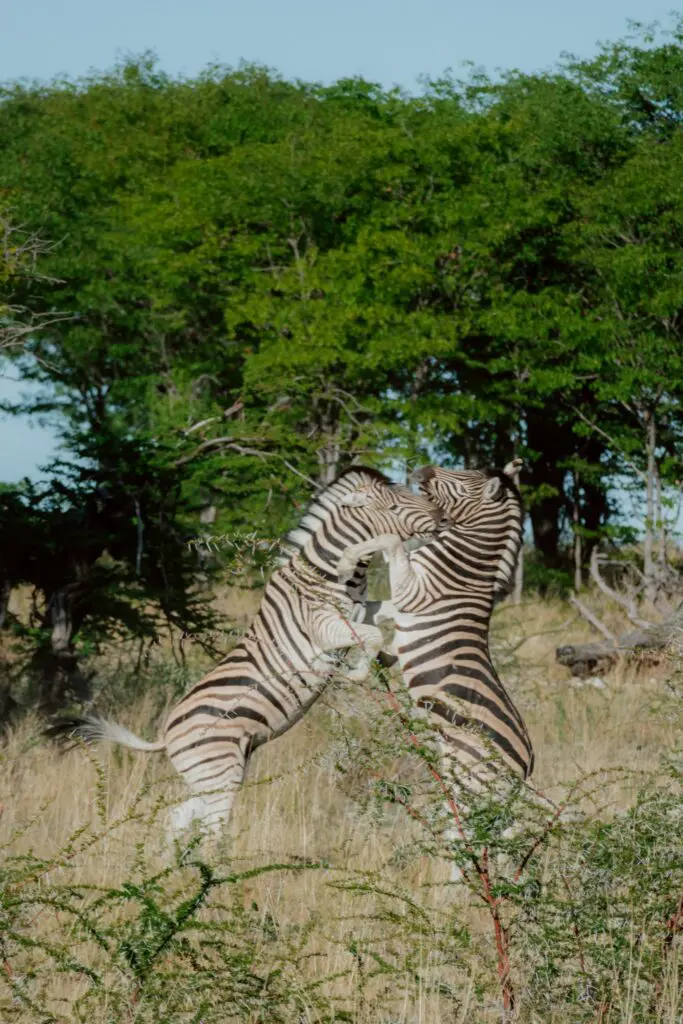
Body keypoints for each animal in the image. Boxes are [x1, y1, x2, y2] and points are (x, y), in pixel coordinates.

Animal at [47, 466, 449, 839]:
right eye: (395, 505)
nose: (443, 518)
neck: (334, 573)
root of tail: (165, 736)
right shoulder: (322, 624)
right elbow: (372, 634)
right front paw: (357, 673)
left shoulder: (358, 609)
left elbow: (389, 617)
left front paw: (393, 654)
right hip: (219, 774)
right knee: (209, 831)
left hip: (212, 776)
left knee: (176, 818)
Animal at [335, 461, 540, 871]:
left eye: (464, 479)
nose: (419, 469)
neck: (461, 561)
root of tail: (525, 766)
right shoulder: (400, 604)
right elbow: (376, 610)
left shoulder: (412, 592)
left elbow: (391, 541)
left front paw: (350, 554)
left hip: (475, 787)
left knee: (478, 846)